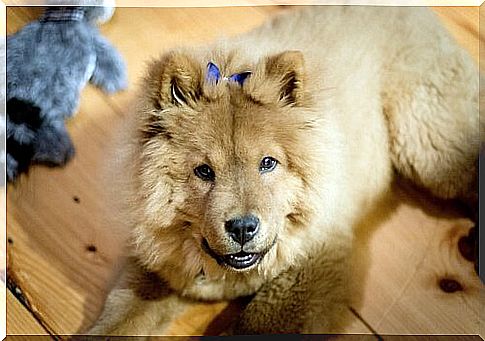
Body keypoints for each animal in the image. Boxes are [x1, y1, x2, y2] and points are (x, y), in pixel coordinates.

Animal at [86, 5, 476, 334]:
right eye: (204, 171)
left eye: (268, 163)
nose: (242, 227)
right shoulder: (160, 265)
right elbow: (120, 316)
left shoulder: (314, 264)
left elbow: (254, 324)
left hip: (430, 149)